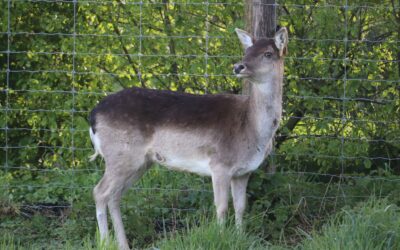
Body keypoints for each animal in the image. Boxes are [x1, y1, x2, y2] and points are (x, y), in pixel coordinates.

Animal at [88, 26, 288, 249]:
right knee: (100, 192)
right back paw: (105, 242)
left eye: (268, 53)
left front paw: (238, 237)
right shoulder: (219, 165)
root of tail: (93, 115)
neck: (252, 131)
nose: (238, 66)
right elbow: (221, 206)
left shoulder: (243, 172)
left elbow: (240, 206)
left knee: (114, 196)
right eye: (247, 51)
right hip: (121, 155)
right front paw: (220, 238)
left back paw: (123, 244)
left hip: (140, 162)